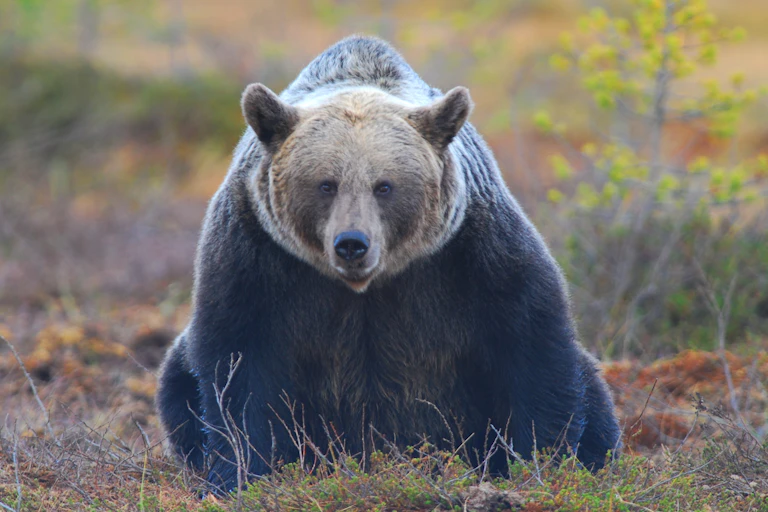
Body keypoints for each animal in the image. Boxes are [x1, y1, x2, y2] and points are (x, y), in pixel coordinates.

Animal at [155, 35, 622, 494]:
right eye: (326, 183)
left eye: (385, 186)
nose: (352, 244)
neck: (367, 288)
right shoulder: (256, 260)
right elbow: (237, 372)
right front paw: (238, 476)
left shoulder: (473, 256)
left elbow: (532, 350)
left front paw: (542, 465)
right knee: (177, 383)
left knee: (591, 387)